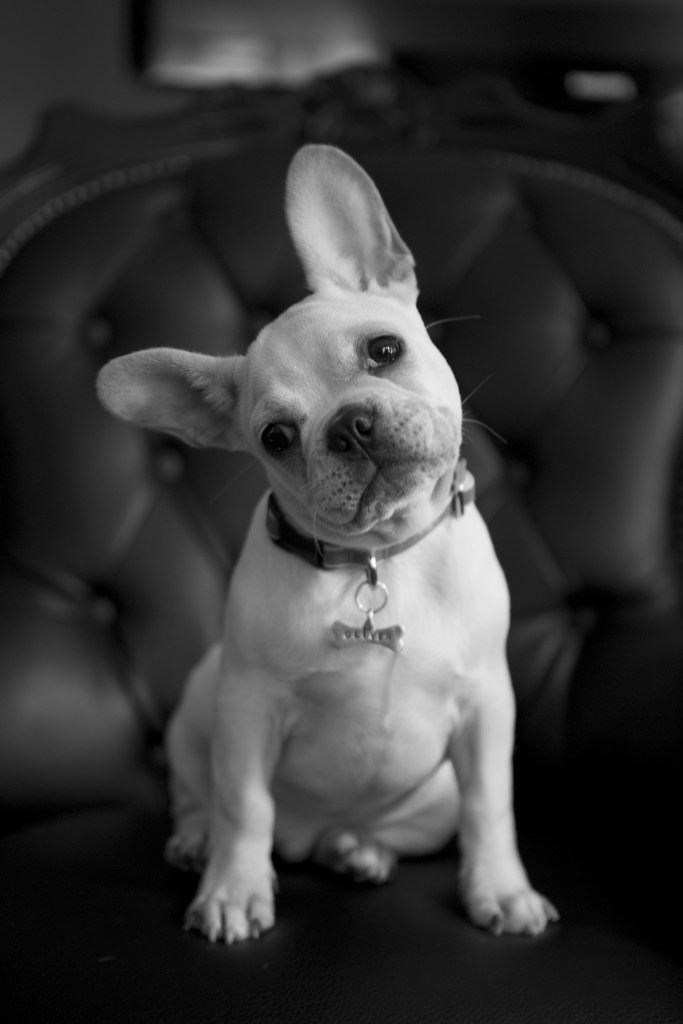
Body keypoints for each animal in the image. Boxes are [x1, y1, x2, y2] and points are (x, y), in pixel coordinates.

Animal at [97, 144, 559, 944]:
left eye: (384, 349)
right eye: (276, 437)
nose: (351, 426)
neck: (378, 555)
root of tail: (312, 834)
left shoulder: (484, 709)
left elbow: (491, 808)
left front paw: (500, 890)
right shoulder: (246, 712)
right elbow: (244, 807)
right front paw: (233, 891)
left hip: (429, 797)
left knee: (406, 827)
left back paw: (360, 850)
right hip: (197, 708)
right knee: (200, 796)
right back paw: (199, 843)